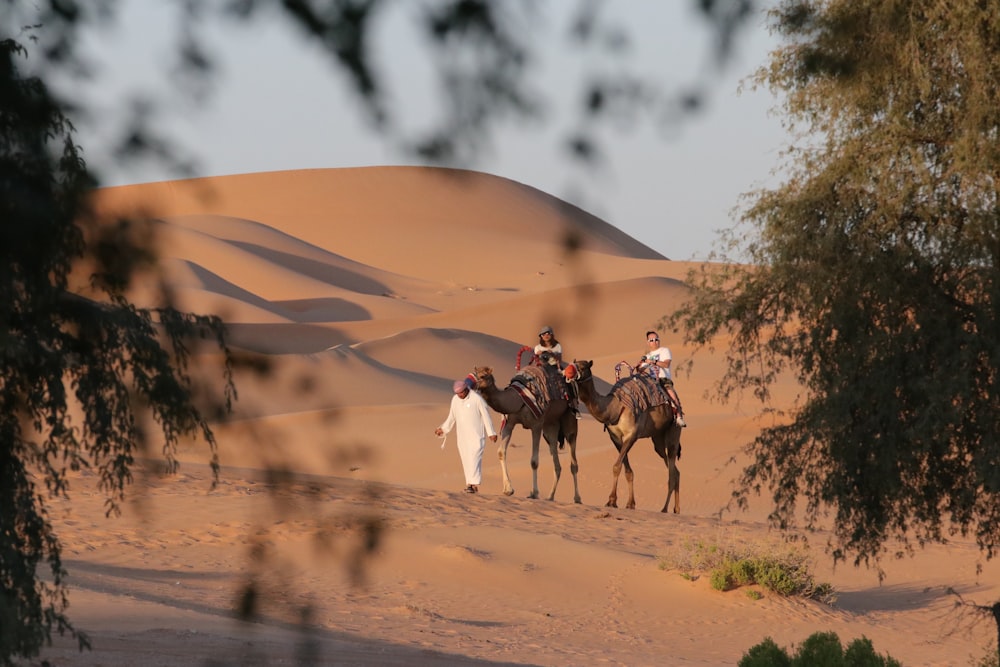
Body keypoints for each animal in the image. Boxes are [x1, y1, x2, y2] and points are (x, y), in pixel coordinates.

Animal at [472, 368, 584, 504]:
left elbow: (534, 461)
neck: (517, 400)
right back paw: (550, 497)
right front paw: (508, 489)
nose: (470, 385)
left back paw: (577, 498)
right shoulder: (509, 422)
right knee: (556, 460)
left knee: (573, 460)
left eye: (482, 376)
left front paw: (534, 493)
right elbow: (501, 452)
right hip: (551, 425)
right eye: (473, 374)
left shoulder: (536, 425)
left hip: (569, 419)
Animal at [568, 360, 684, 512]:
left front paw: (611, 500)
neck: (614, 408)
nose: (566, 372)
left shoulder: (632, 435)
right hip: (657, 438)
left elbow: (616, 466)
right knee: (674, 470)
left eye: (582, 367)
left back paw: (664, 509)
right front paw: (629, 503)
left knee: (672, 468)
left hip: (674, 430)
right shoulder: (616, 437)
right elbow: (627, 471)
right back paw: (676, 509)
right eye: (572, 364)